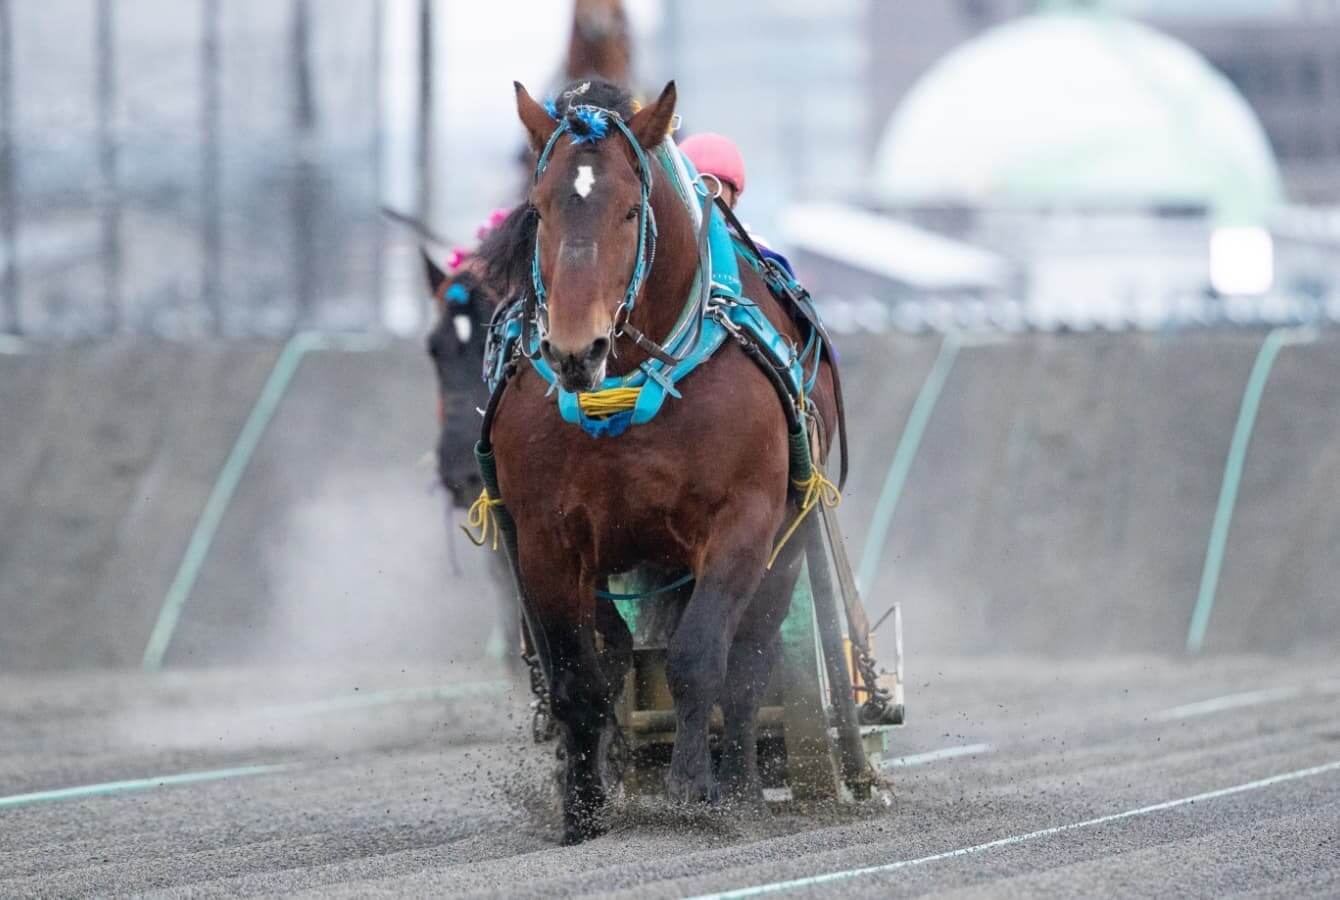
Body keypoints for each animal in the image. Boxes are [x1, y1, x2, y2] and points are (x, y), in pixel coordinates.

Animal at [477, 79, 841, 846]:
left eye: (627, 209)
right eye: (540, 207)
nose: (573, 349)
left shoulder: (744, 520)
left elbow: (702, 656)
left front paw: (697, 788)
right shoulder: (545, 539)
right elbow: (579, 674)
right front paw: (583, 806)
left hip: (789, 543)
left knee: (750, 662)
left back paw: (742, 785)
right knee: (614, 654)